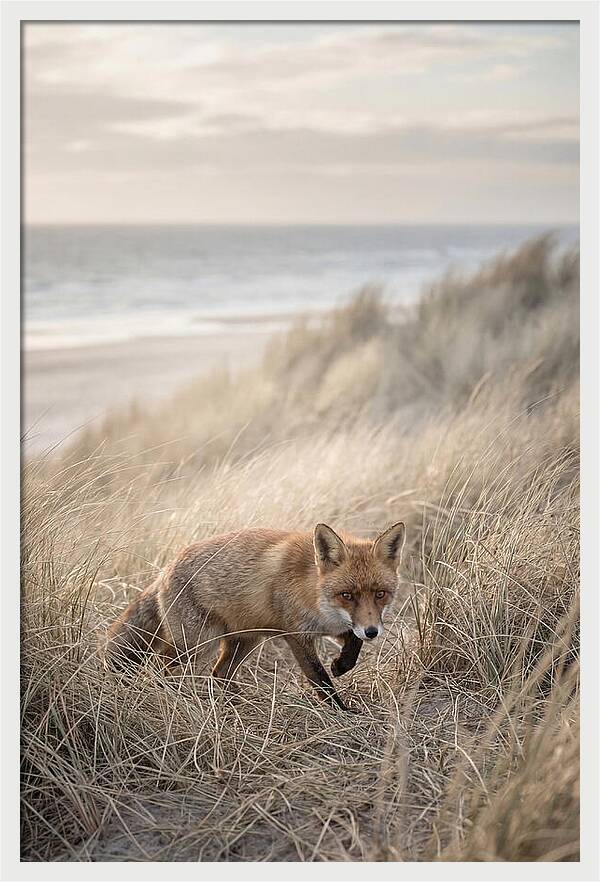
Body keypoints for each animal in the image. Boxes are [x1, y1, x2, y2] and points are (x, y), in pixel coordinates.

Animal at [105, 521, 406, 712]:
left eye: (380, 594)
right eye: (347, 595)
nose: (372, 632)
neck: (314, 592)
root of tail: (164, 569)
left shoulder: (338, 626)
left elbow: (353, 644)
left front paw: (342, 665)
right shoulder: (296, 635)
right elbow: (319, 679)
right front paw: (342, 712)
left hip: (245, 640)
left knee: (219, 673)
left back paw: (236, 704)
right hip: (198, 644)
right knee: (159, 666)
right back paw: (171, 697)